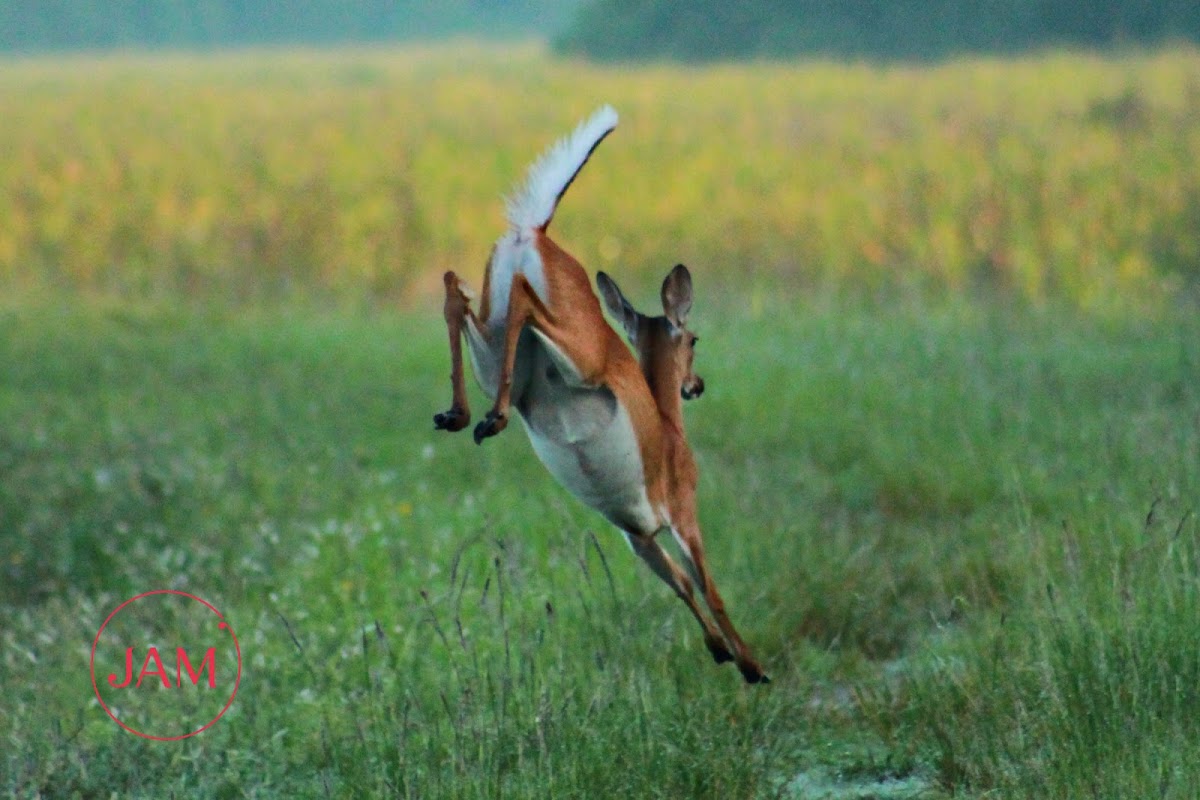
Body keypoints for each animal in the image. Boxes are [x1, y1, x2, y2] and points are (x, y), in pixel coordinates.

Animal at [434, 104, 768, 681]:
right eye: (695, 339)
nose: (697, 385)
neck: (668, 429)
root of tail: (536, 230)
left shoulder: (638, 534)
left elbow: (681, 585)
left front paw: (721, 651)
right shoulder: (680, 516)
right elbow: (710, 586)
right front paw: (752, 666)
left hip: (499, 352)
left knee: (457, 291)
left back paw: (460, 416)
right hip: (580, 359)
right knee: (522, 300)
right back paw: (489, 420)